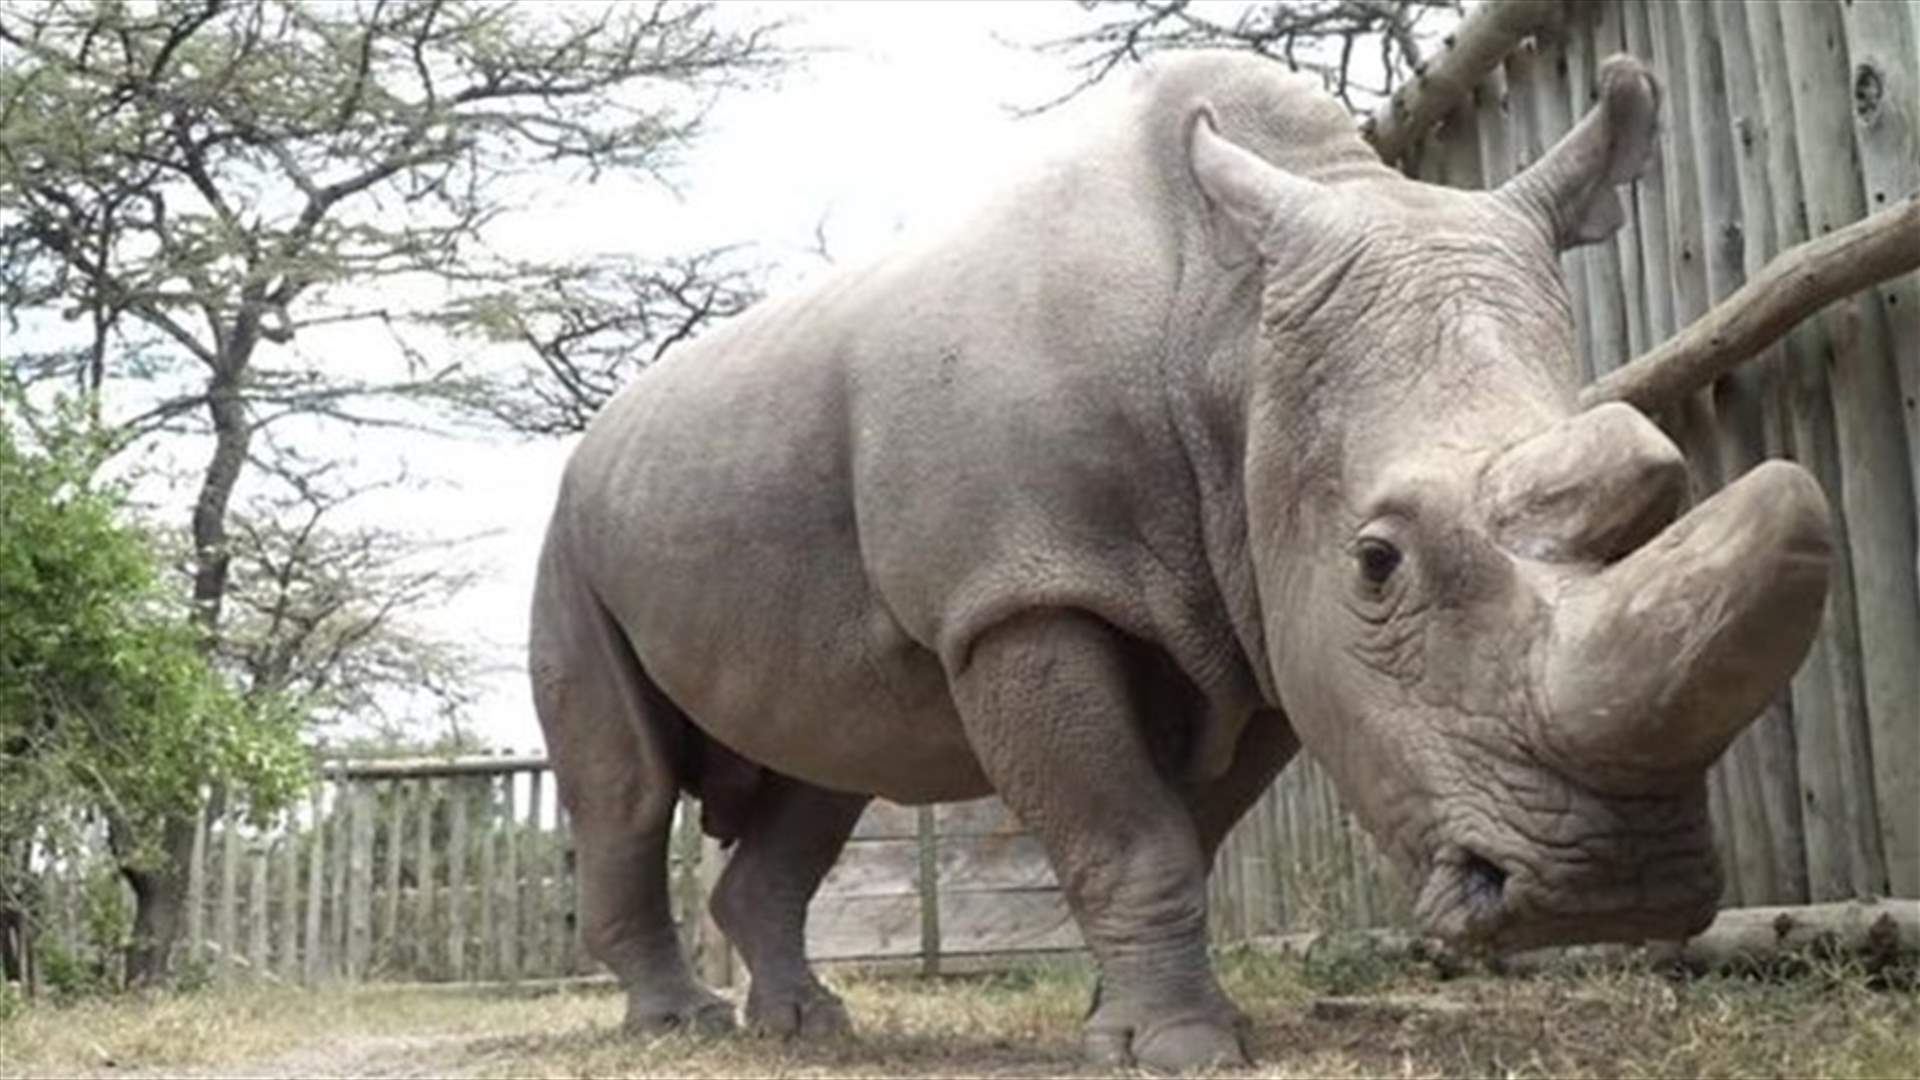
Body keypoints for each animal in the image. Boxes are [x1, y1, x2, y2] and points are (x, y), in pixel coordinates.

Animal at [530, 51, 1832, 1070]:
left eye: (1663, 491)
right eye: (1377, 563)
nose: (1619, 889)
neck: (1231, 337)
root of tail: (600, 437)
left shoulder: (1256, 617)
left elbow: (1180, 834)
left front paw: (1121, 1031)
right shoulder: (1020, 594)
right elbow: (1129, 831)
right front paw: (1186, 1049)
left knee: (823, 770)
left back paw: (806, 1028)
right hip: (570, 528)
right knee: (629, 788)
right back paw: (684, 1027)